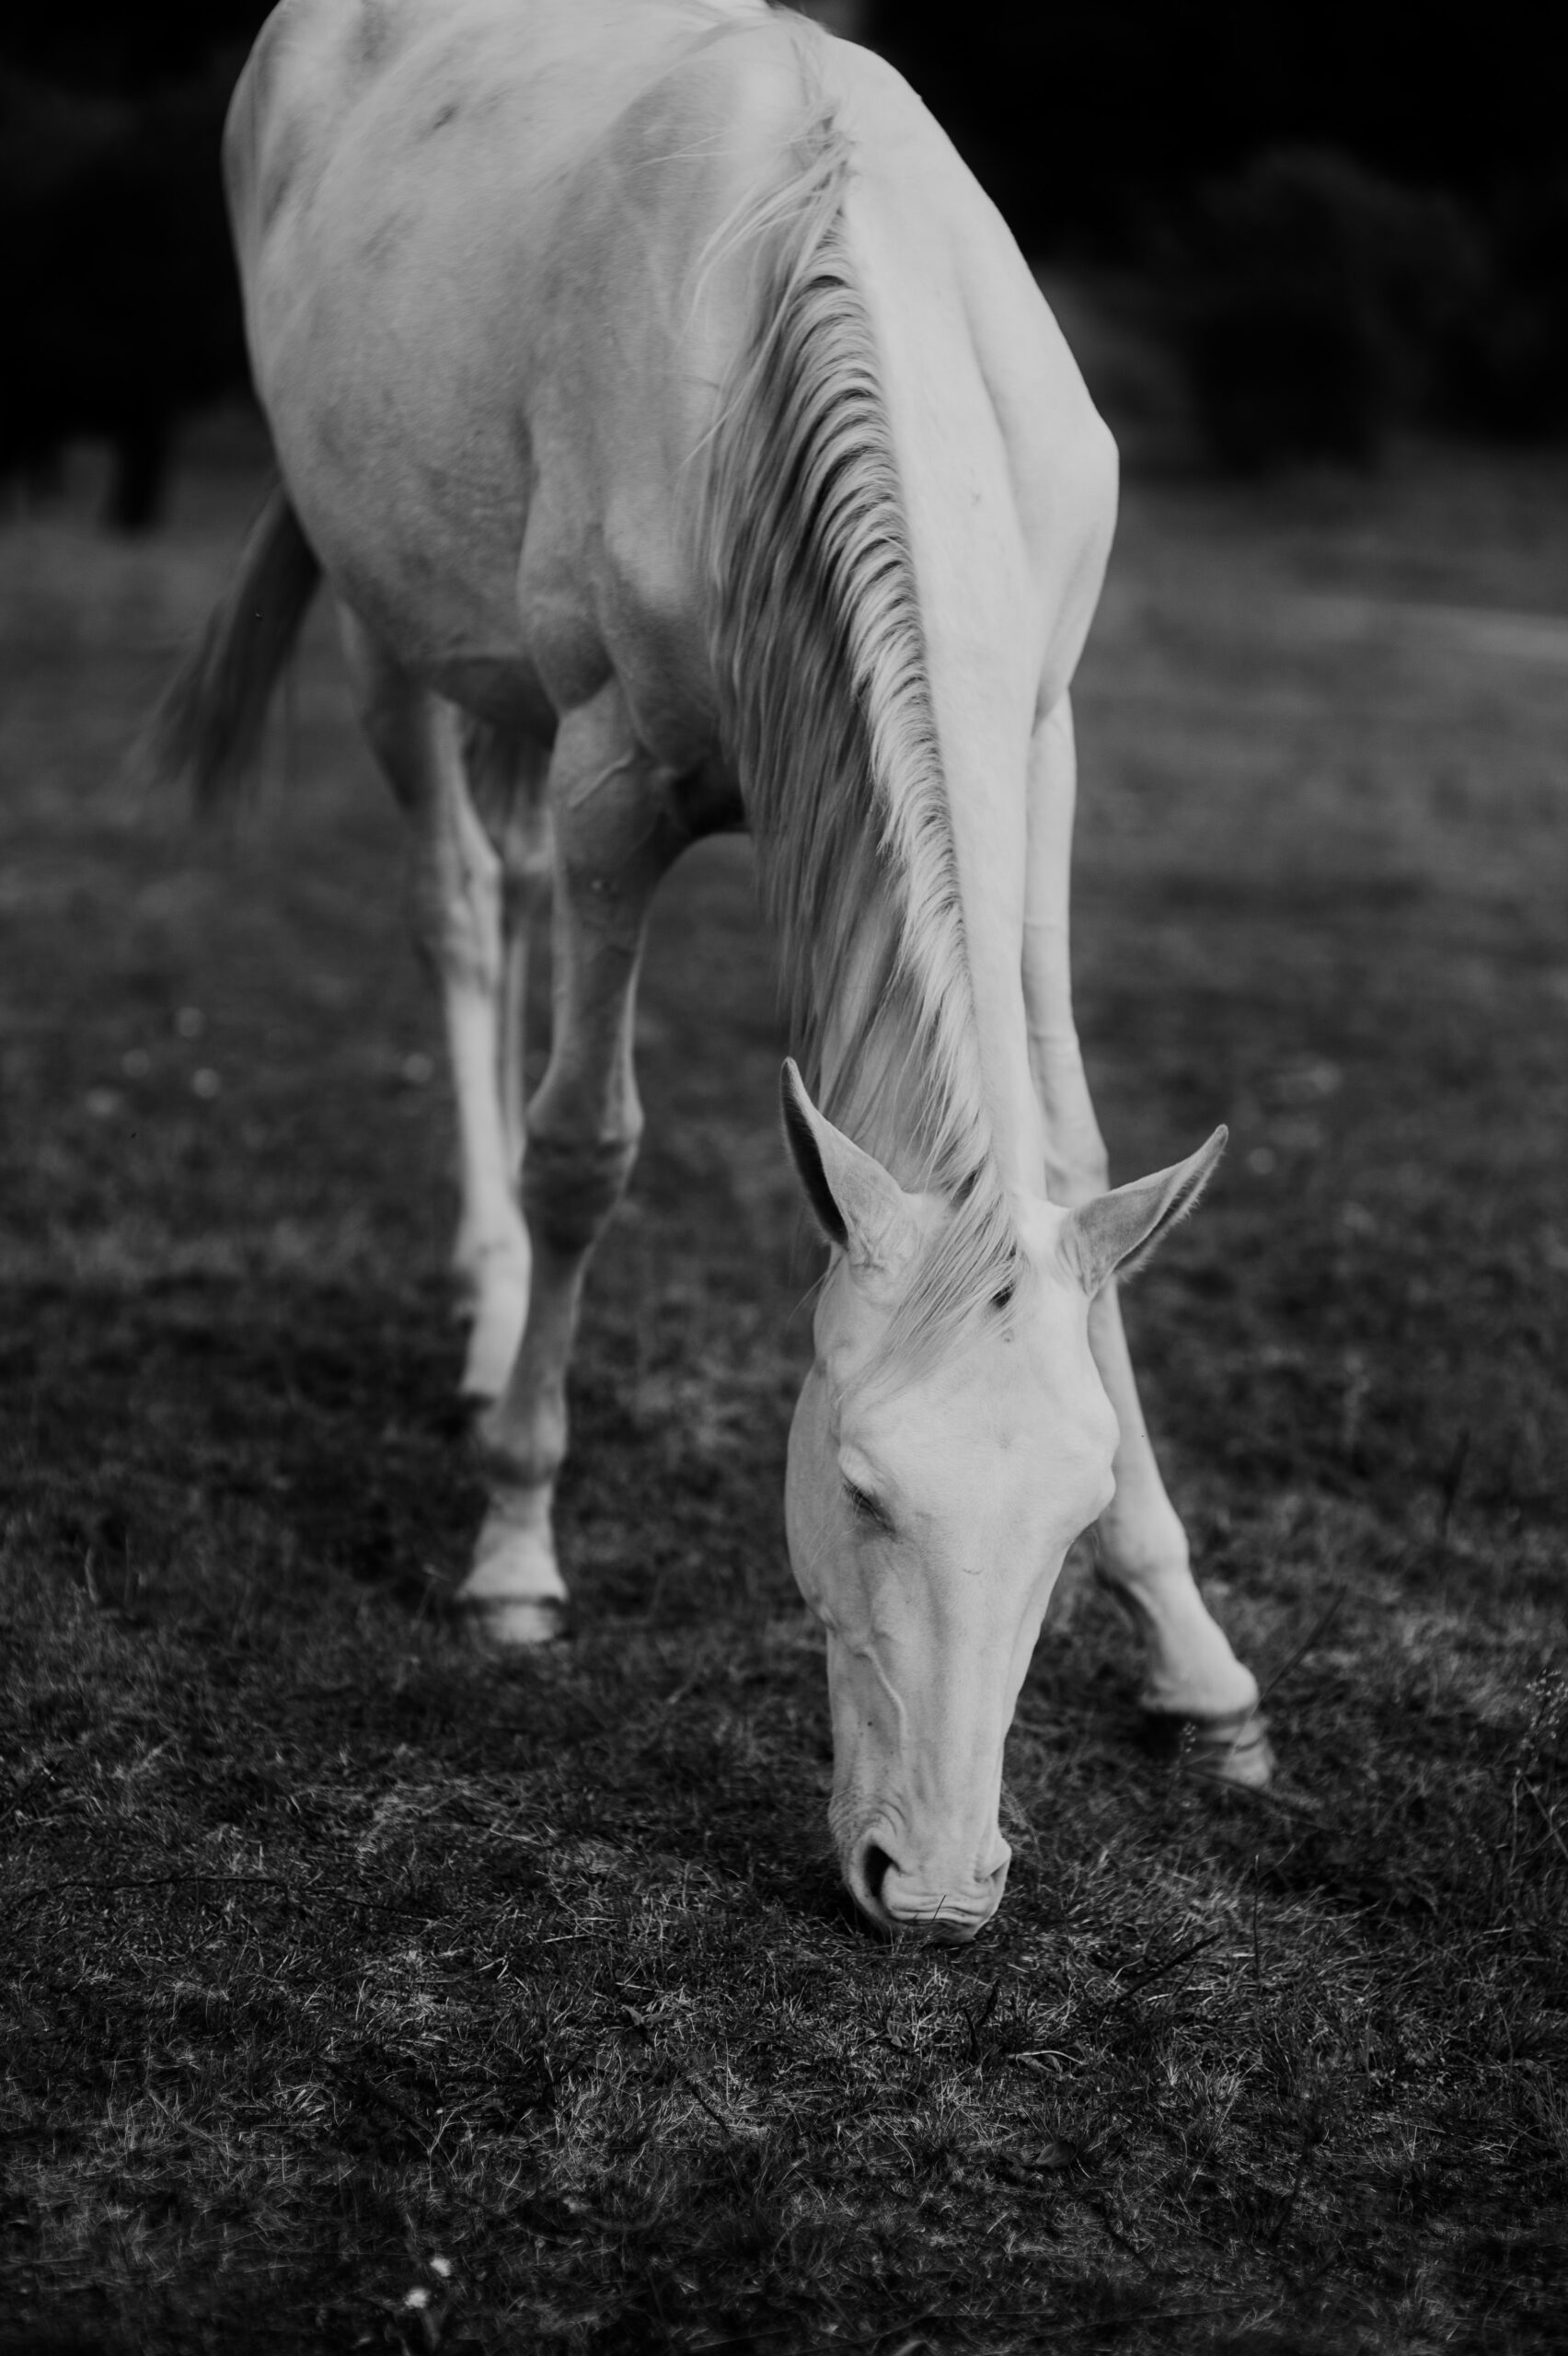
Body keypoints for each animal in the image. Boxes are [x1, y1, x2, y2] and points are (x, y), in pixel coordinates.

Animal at [153, 0, 1262, 1932]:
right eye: (859, 1489)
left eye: (1061, 1519)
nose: (934, 1887)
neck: (797, 319)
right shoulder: (618, 771)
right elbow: (582, 1148)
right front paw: (514, 1554)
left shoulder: (1036, 742)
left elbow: (1065, 1155)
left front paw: (1196, 1670)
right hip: (386, 627)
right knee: (462, 909)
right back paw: (487, 1307)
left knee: (510, 890)